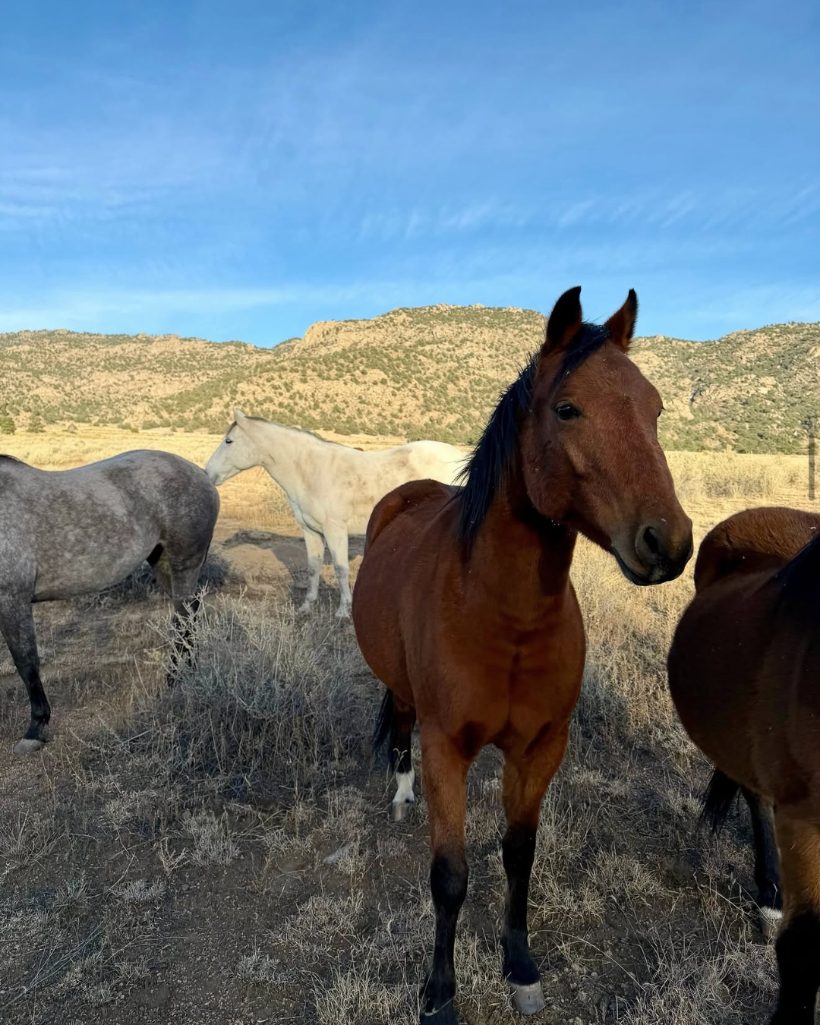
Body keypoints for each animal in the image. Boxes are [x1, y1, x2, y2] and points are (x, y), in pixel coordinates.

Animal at [0, 450, 219, 755]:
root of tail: (201, 475)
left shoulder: (13, 600)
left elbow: (26, 663)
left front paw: (36, 729)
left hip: (184, 564)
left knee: (183, 619)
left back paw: (175, 679)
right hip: (163, 564)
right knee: (189, 614)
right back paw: (188, 672)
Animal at [205, 410, 466, 617]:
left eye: (229, 441)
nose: (207, 473)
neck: (310, 471)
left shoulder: (335, 530)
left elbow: (341, 568)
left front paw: (343, 611)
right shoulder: (311, 531)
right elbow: (313, 566)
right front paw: (307, 607)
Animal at [352, 286, 693, 1024]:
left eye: (654, 407)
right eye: (568, 408)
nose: (669, 542)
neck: (504, 617)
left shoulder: (540, 747)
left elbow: (519, 854)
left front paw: (520, 964)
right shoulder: (447, 747)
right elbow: (450, 875)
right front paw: (439, 992)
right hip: (404, 693)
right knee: (398, 720)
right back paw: (400, 794)